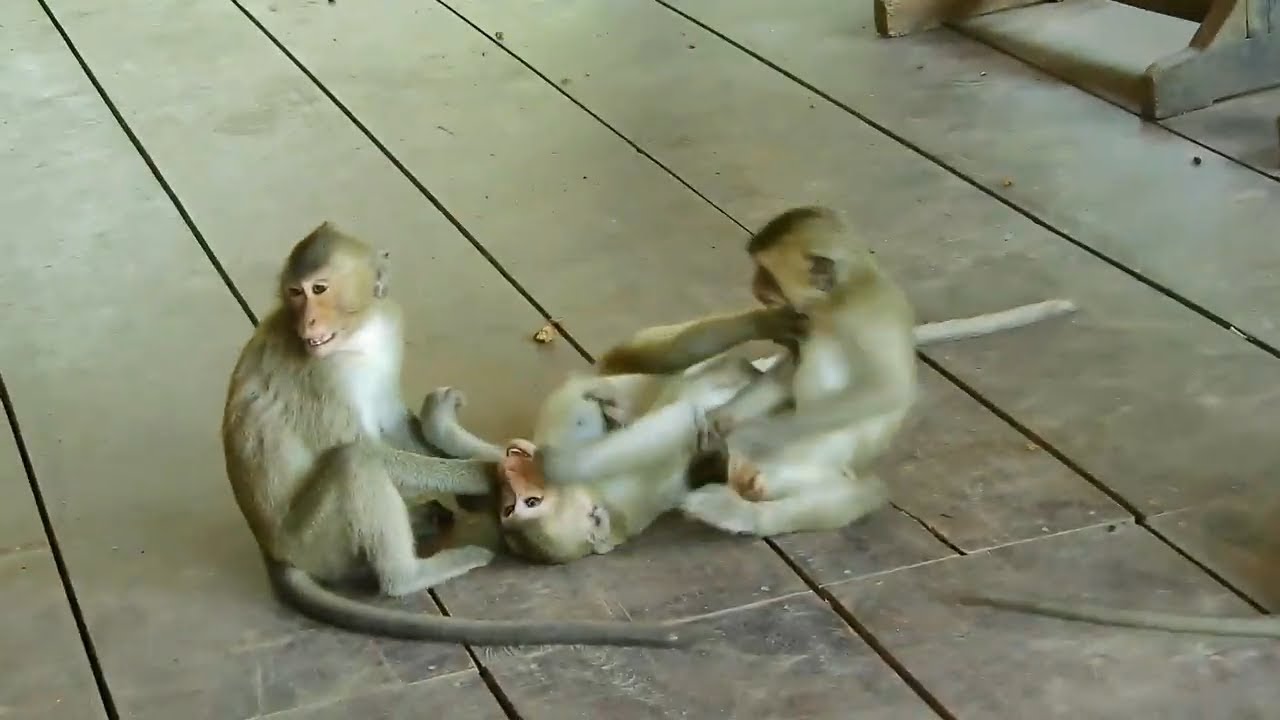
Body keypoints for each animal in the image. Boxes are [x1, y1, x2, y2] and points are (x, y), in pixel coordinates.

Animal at [220, 221, 698, 648]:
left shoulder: (385, 332)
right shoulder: (318, 376)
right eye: (294, 293)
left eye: (318, 289)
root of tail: (275, 551)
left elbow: (391, 422)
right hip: (314, 540)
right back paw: (409, 575)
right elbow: (364, 445)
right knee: (354, 461)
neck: (357, 335)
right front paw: (485, 475)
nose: (308, 324)